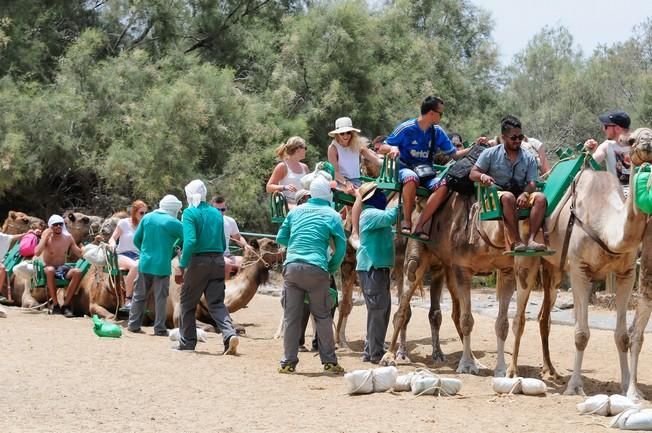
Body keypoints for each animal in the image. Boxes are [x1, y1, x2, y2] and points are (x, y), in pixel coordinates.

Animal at [510, 126, 652, 394]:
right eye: (631, 140)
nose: (647, 143)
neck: (607, 227)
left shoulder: (626, 272)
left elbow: (622, 336)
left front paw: (627, 386)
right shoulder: (579, 269)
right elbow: (581, 334)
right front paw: (575, 387)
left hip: (554, 270)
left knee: (544, 316)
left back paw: (551, 371)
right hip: (526, 261)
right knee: (520, 315)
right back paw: (511, 371)